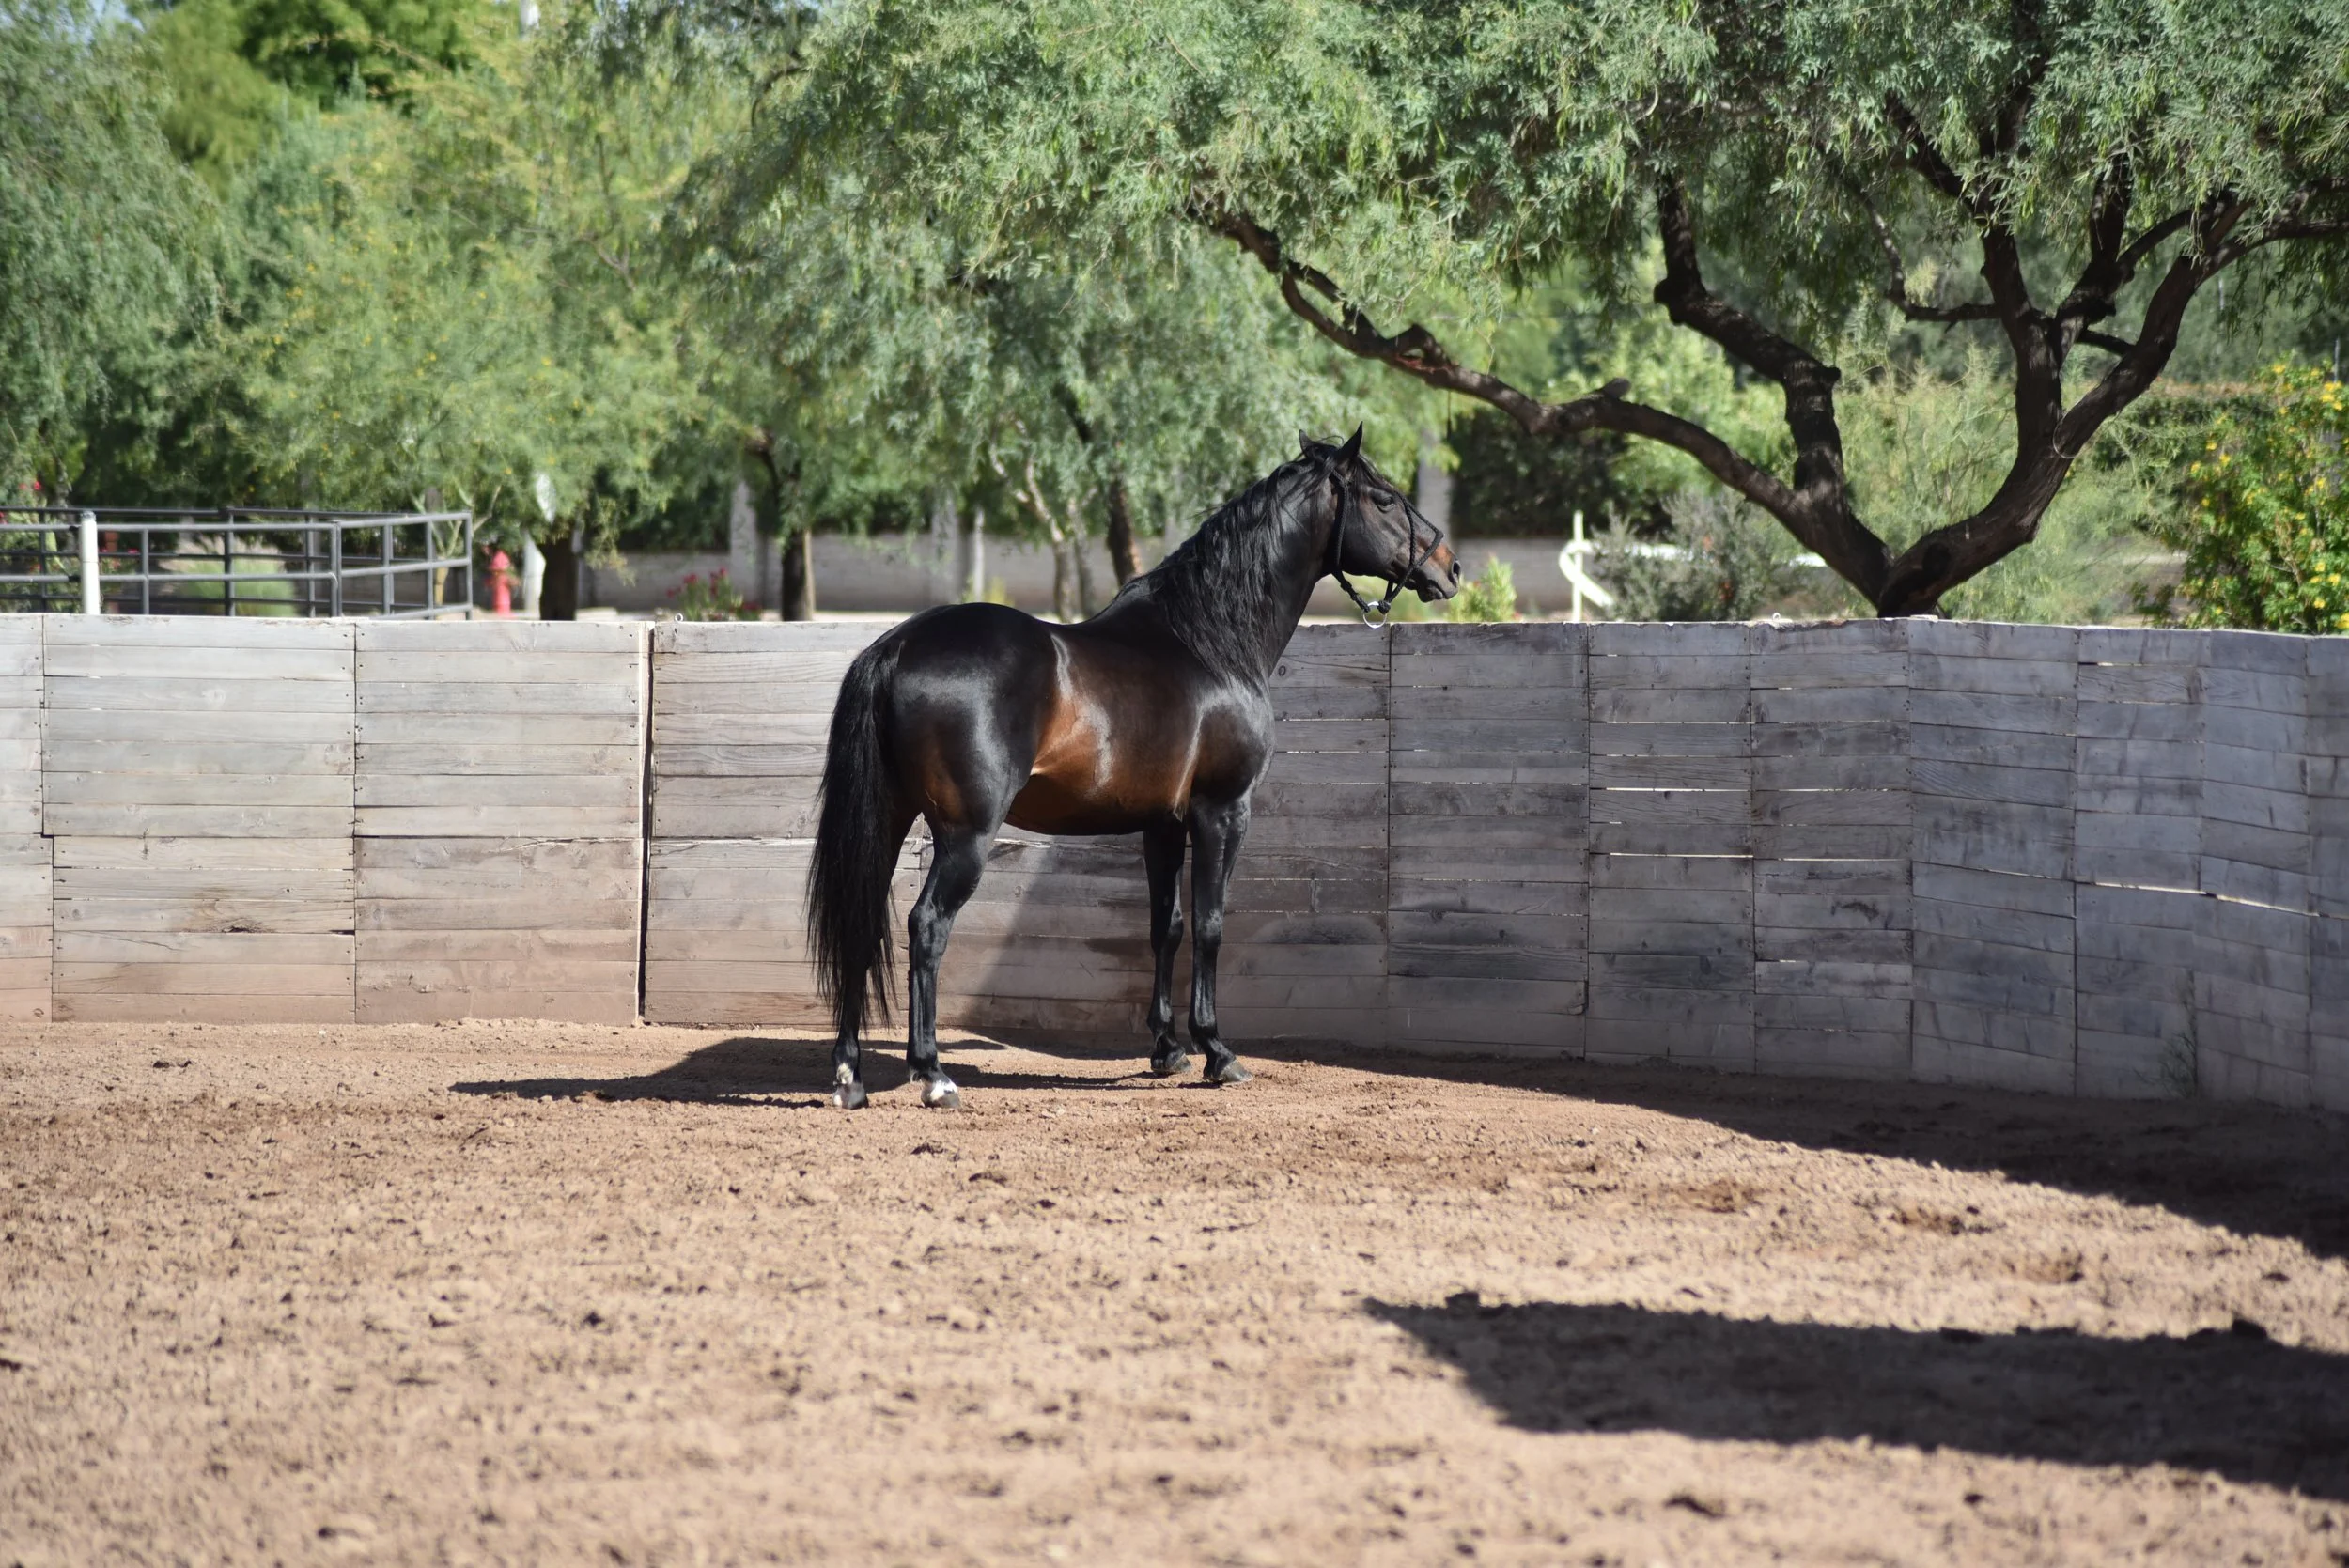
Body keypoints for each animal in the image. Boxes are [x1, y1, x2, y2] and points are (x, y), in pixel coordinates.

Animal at [806, 429, 1459, 1109]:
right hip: (966, 837)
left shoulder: (1162, 823)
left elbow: (1165, 926)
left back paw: (850, 1075)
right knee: (928, 926)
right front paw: (1217, 1051)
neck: (1209, 641)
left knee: (860, 921)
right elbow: (1210, 923)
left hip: (888, 820)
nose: (1450, 567)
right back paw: (933, 1073)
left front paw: (1167, 1049)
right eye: (1384, 499)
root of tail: (896, 648)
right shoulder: (1223, 810)